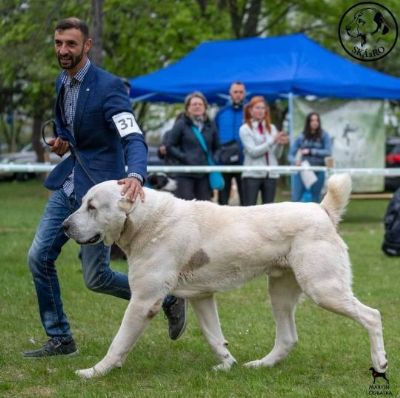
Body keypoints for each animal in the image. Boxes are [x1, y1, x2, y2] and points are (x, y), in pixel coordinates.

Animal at [63, 175, 388, 380]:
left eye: (92, 207)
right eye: (82, 203)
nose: (65, 226)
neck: (147, 221)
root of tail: (322, 210)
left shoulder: (143, 302)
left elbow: (118, 342)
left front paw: (94, 372)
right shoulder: (201, 297)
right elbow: (214, 336)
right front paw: (227, 364)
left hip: (323, 289)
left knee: (372, 315)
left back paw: (380, 361)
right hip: (280, 293)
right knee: (287, 338)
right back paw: (260, 365)